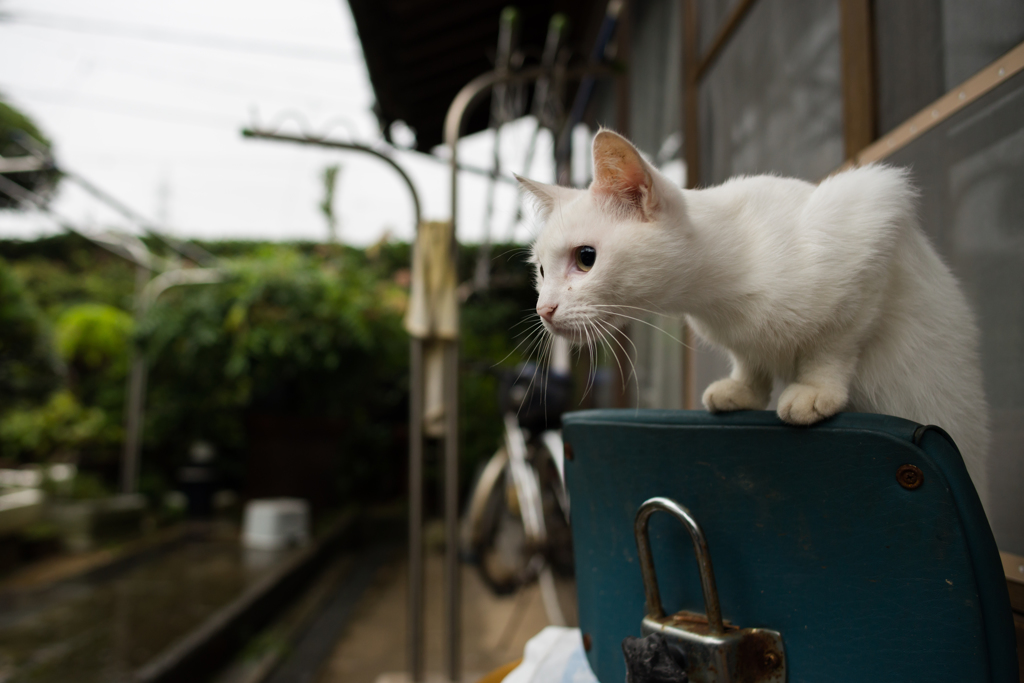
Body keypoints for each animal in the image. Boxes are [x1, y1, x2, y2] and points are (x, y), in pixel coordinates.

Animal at [524, 127, 987, 489]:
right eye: (541, 271)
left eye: (586, 258)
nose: (543, 309)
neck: (715, 296)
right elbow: (749, 358)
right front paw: (742, 390)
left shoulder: (870, 229)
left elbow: (833, 345)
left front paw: (814, 391)